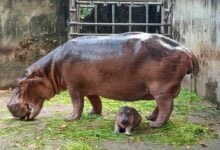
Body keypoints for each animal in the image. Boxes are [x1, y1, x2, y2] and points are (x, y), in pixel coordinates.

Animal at [7, 32, 199, 127]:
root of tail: (185, 49)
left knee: (166, 106)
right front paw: (93, 113)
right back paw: (150, 118)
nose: (8, 105)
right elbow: (95, 101)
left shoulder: (73, 88)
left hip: (161, 89)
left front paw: (70, 119)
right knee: (160, 106)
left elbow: (77, 104)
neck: (50, 70)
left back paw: (155, 125)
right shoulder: (89, 88)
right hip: (160, 89)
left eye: (20, 83)